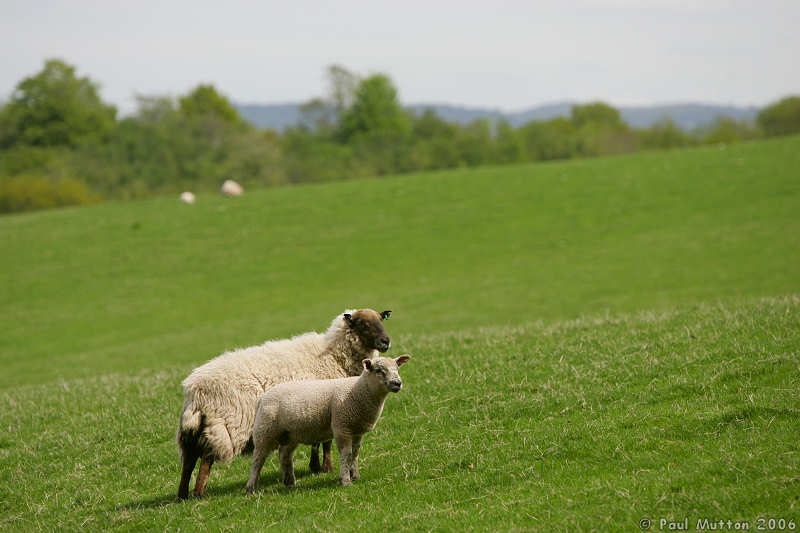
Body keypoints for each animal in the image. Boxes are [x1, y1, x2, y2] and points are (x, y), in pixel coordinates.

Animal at [245, 354, 410, 490]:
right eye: (379, 370)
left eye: (397, 368)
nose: (397, 383)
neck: (359, 391)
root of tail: (262, 398)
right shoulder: (341, 426)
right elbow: (346, 453)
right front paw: (345, 480)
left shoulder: (357, 430)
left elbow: (355, 453)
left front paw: (355, 475)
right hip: (264, 430)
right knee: (258, 458)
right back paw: (251, 487)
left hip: (290, 434)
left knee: (284, 455)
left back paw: (290, 482)